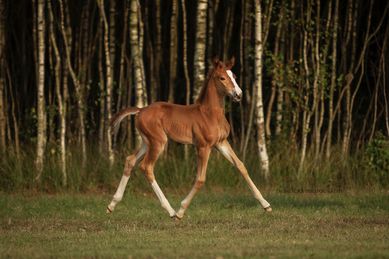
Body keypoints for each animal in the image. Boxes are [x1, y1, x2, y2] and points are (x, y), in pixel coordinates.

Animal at [105, 58, 270, 219]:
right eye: (222, 78)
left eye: (234, 76)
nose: (238, 94)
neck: (210, 114)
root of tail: (140, 110)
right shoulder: (203, 146)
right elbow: (200, 178)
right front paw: (181, 211)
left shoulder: (221, 143)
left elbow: (241, 166)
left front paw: (266, 205)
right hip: (158, 142)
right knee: (147, 167)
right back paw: (171, 211)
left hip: (147, 142)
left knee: (130, 160)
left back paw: (112, 205)